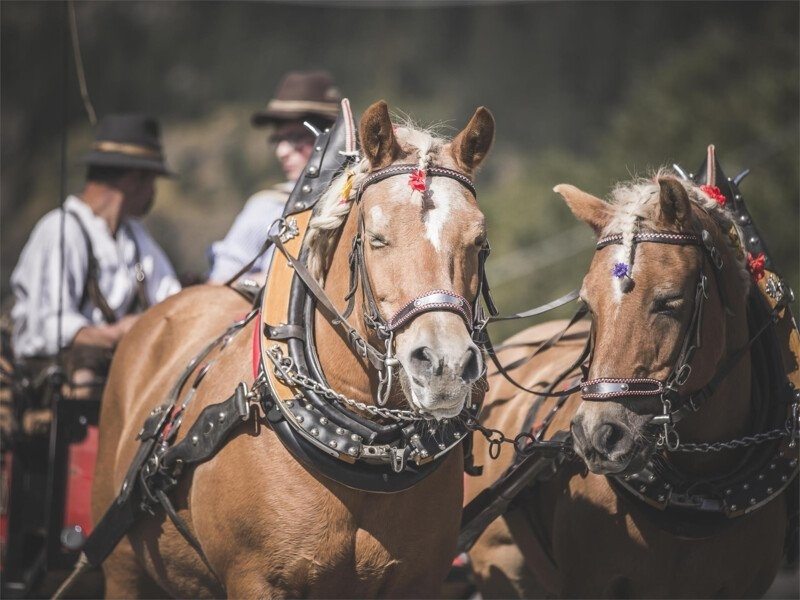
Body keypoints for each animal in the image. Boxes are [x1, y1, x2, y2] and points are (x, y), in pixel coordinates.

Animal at [91, 100, 496, 598]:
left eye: (478, 242)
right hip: (123, 570)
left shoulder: (420, 581)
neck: (367, 456)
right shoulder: (258, 581)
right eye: (377, 238)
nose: (445, 365)